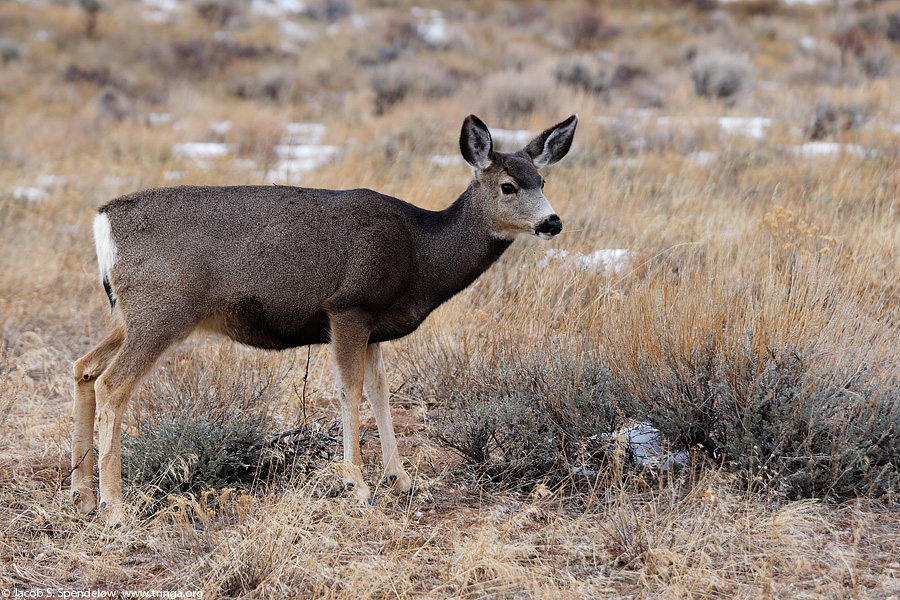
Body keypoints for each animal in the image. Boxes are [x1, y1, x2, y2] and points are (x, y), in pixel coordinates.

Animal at [72, 113, 576, 524]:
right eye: (508, 185)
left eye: (542, 181)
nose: (553, 222)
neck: (420, 253)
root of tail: (103, 222)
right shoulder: (349, 307)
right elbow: (349, 390)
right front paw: (359, 486)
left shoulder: (375, 325)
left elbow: (380, 394)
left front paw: (401, 479)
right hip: (162, 309)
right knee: (112, 384)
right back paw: (114, 509)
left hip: (128, 315)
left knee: (83, 368)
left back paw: (83, 496)